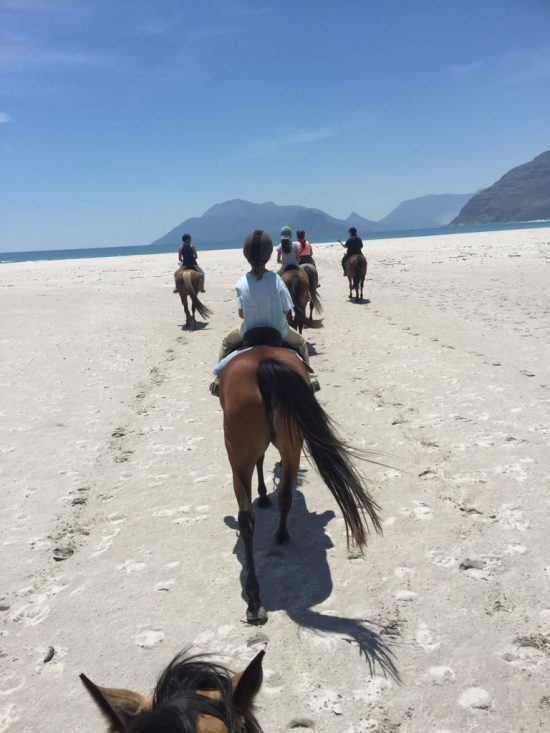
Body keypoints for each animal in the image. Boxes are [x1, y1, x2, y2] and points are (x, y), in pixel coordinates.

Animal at [220, 346, 384, 620]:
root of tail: (263, 364)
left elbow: (261, 461)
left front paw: (262, 495)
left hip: (243, 456)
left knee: (254, 513)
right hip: (284, 447)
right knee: (270, 504)